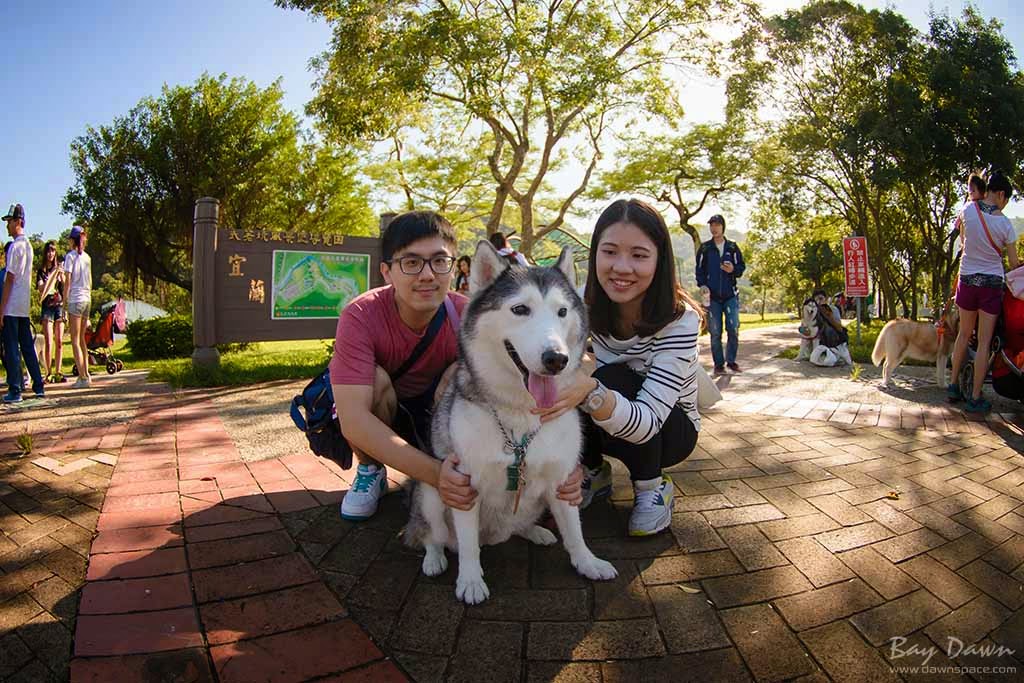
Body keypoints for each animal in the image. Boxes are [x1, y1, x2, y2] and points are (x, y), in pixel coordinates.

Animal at [405, 240, 614, 602]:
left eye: (562, 312)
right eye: (520, 309)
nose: (557, 359)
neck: (520, 418)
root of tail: (495, 535)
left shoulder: (561, 479)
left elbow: (575, 531)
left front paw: (588, 562)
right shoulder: (464, 485)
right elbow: (468, 546)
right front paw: (470, 581)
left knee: (517, 526)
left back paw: (535, 531)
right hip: (432, 492)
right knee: (433, 535)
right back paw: (434, 558)